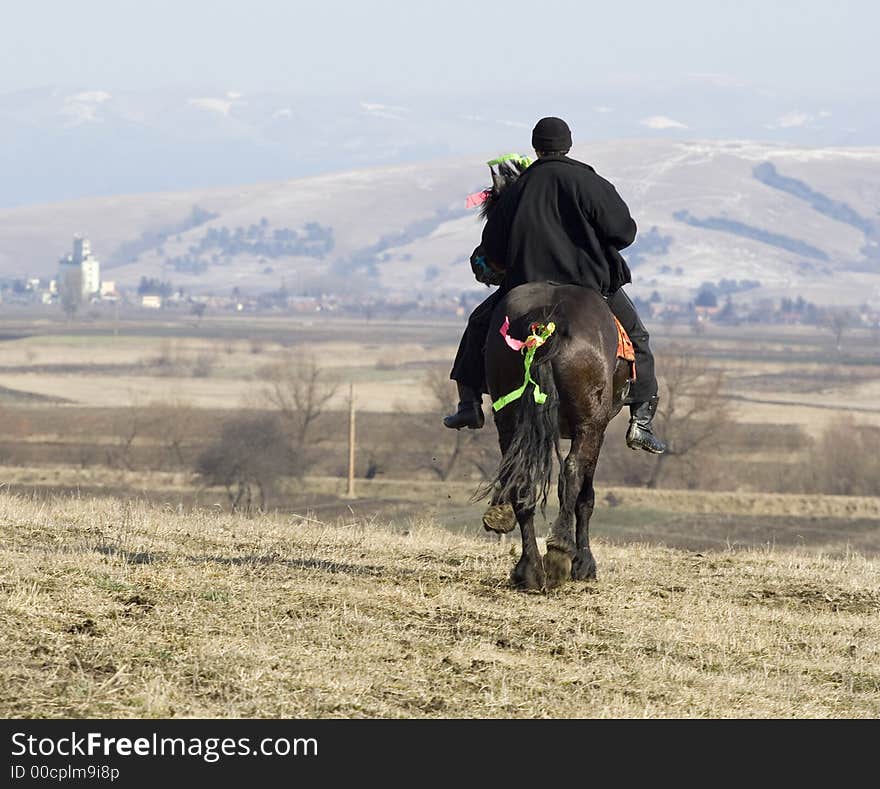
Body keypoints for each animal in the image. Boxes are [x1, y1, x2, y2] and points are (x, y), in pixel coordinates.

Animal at [470, 157, 628, 588]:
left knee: (520, 475)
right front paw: (584, 564)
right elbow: (585, 495)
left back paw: (528, 568)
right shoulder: (597, 425)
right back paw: (559, 555)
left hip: (510, 415)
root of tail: (545, 321)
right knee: (572, 476)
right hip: (589, 422)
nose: (478, 262)